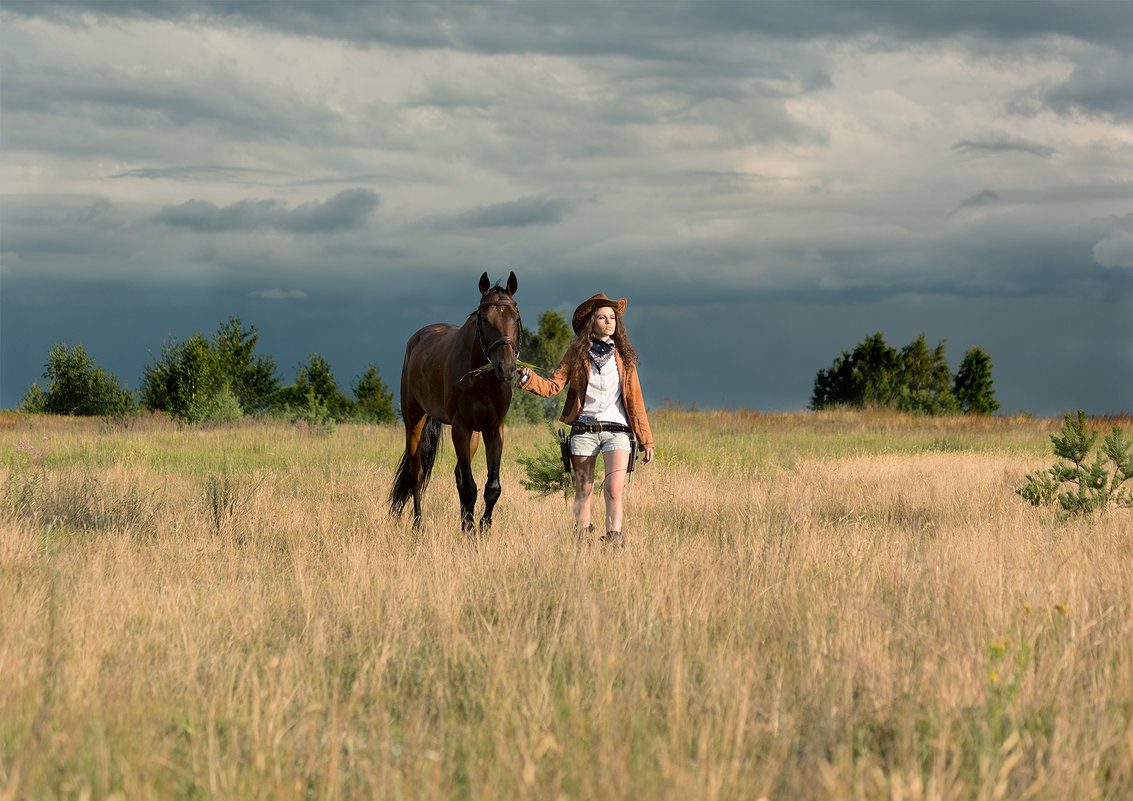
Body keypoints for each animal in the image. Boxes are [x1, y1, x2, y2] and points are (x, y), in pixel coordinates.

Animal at [385, 273, 518, 534]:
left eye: (515, 318)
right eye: (484, 319)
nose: (505, 367)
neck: (482, 379)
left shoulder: (493, 430)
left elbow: (492, 487)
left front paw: (482, 528)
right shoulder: (460, 428)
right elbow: (469, 487)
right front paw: (470, 531)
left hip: (473, 435)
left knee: (458, 474)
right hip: (414, 422)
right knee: (416, 475)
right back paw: (418, 526)